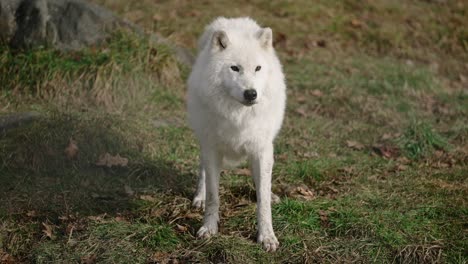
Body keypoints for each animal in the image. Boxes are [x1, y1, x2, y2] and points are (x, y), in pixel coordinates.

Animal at [186, 16, 286, 252]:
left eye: (258, 68)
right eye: (234, 68)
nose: (251, 93)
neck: (238, 115)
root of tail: (234, 20)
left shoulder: (261, 150)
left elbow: (263, 201)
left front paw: (267, 236)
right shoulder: (213, 149)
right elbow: (214, 196)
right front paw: (209, 228)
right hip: (204, 139)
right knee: (203, 170)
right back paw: (199, 197)